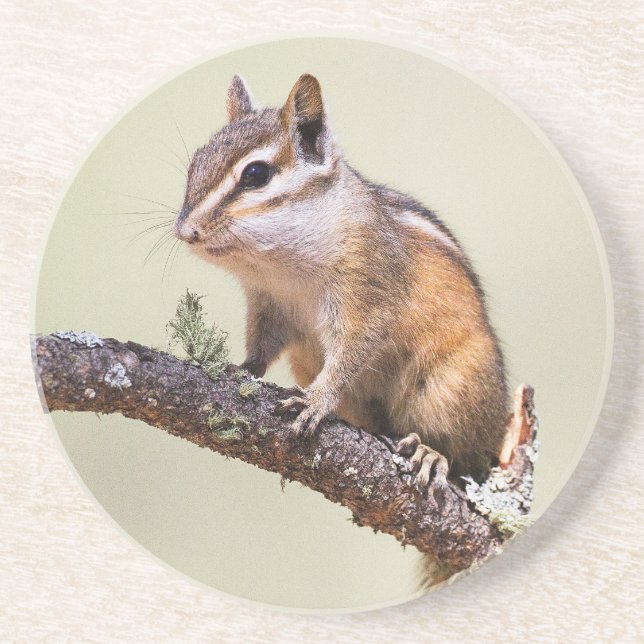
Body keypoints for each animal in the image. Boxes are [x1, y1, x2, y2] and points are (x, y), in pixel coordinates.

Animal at [174, 73, 509, 488]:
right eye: (195, 163)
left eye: (255, 174)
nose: (185, 231)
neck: (280, 268)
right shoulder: (267, 304)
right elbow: (262, 345)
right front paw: (241, 368)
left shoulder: (367, 292)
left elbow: (350, 354)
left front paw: (316, 400)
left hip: (450, 390)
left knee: (464, 455)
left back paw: (431, 453)